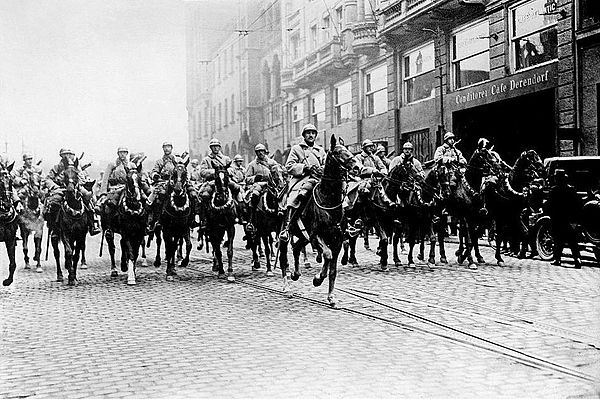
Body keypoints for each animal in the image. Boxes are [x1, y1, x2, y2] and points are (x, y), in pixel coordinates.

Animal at [48, 158, 90, 286]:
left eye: (76, 174)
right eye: (65, 175)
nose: (71, 190)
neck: (74, 209)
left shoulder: (81, 234)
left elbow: (76, 255)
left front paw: (74, 276)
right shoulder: (65, 233)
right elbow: (68, 252)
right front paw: (71, 277)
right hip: (56, 235)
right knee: (57, 253)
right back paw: (60, 275)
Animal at [280, 135, 358, 310]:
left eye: (348, 149)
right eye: (338, 152)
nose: (357, 167)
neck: (328, 200)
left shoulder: (337, 240)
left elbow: (333, 269)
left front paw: (331, 298)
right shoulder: (316, 236)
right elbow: (327, 255)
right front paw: (317, 279)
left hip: (303, 237)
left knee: (296, 248)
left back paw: (296, 274)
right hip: (284, 235)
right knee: (283, 259)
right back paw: (287, 287)